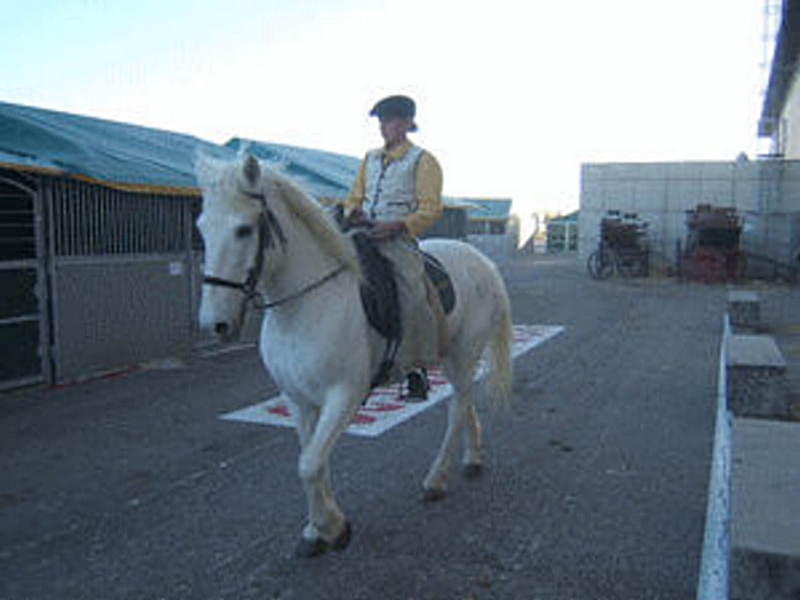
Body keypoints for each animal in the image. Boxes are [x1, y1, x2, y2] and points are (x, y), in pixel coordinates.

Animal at [195, 154, 514, 557]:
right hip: (451, 357)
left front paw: (333, 528)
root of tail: (484, 263)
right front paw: (317, 528)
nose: (215, 324)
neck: (305, 304)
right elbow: (314, 460)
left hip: (463, 354)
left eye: (243, 230)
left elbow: (309, 464)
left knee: (457, 409)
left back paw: (436, 480)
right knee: (465, 400)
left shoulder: (344, 395)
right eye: (201, 228)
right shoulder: (298, 399)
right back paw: (472, 458)